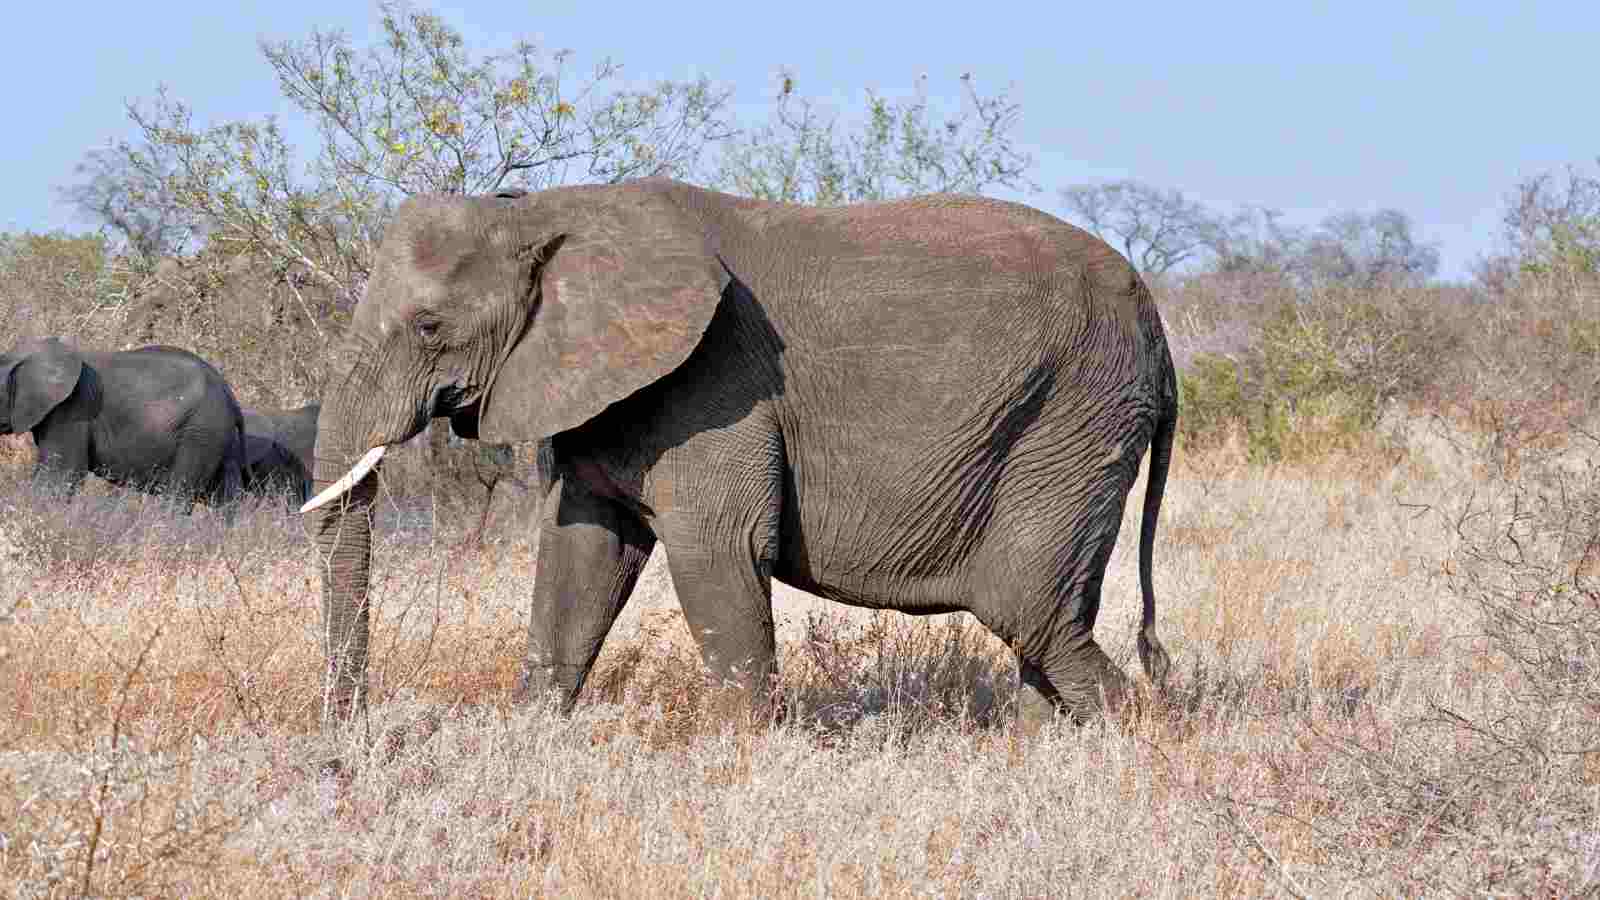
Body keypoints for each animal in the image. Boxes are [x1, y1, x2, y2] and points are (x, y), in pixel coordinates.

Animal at [303, 177, 1178, 732]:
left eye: (428, 327)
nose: (349, 736)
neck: (547, 212)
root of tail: (1157, 323)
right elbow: (582, 553)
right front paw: (528, 740)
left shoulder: (716, 385)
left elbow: (719, 549)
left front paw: (738, 757)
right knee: (1049, 614)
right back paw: (1044, 748)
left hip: (1073, 413)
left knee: (1027, 606)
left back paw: (1138, 740)